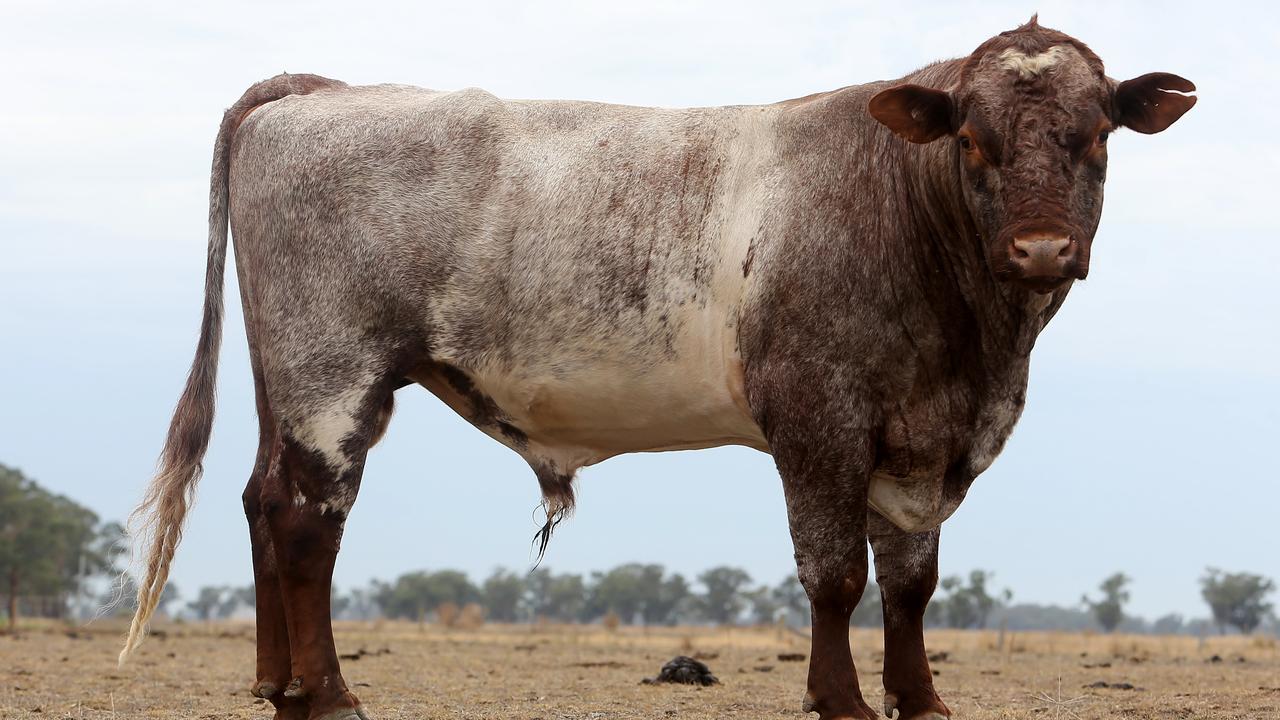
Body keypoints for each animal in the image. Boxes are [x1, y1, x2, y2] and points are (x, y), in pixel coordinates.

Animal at [117, 16, 1187, 717]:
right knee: (309, 523)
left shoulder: (919, 441)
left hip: (287, 383)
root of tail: (322, 91)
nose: (1041, 250)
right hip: (333, 377)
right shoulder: (820, 423)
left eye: (1096, 136)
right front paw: (839, 701)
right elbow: (836, 575)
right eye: (972, 137)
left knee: (263, 500)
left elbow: (911, 583)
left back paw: (279, 686)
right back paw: (330, 695)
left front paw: (921, 702)